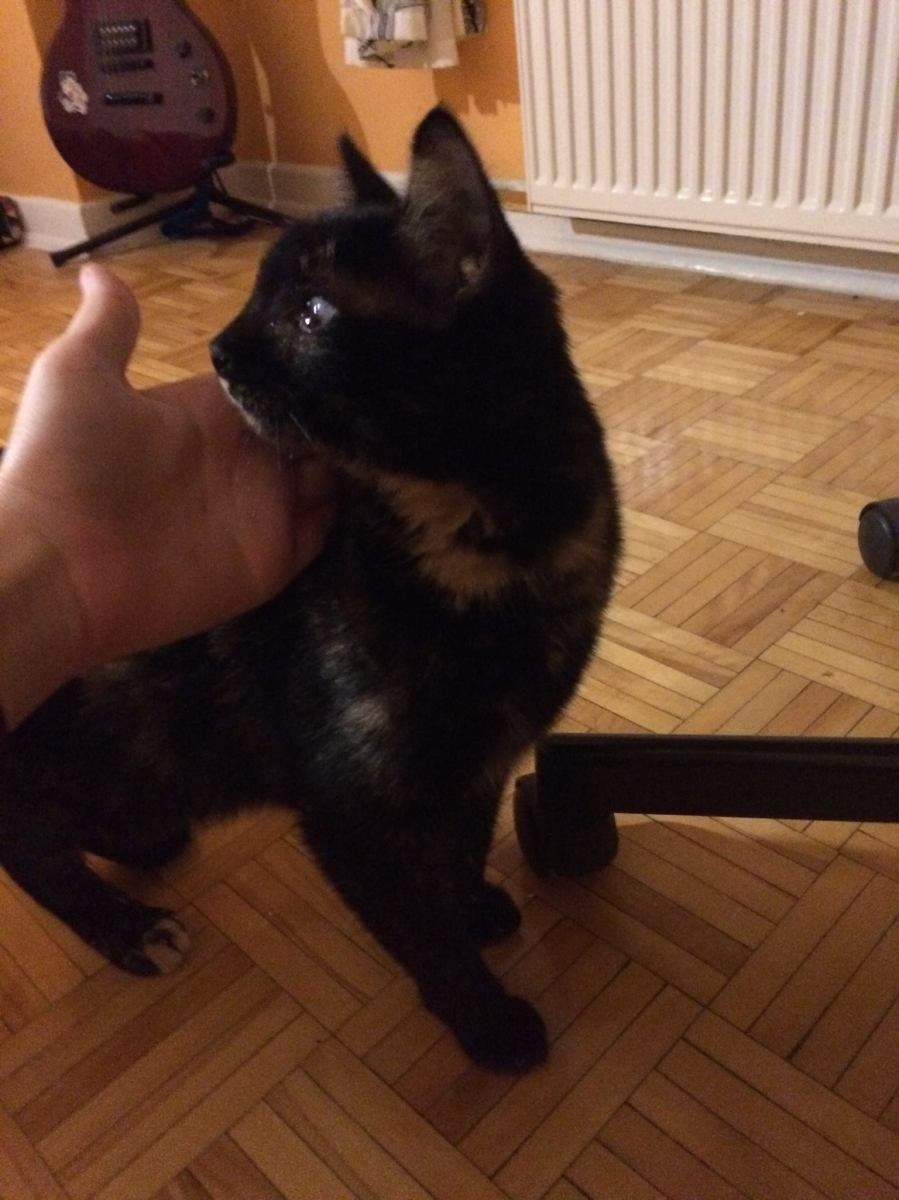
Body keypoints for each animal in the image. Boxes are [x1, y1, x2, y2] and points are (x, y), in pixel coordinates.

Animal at [0, 108, 619, 1073]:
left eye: (311, 312)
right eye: (260, 297)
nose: (219, 351)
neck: (491, 550)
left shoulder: (477, 764)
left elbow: (459, 850)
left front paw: (477, 904)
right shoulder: (349, 805)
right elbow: (419, 927)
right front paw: (487, 1022)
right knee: (27, 845)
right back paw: (129, 929)